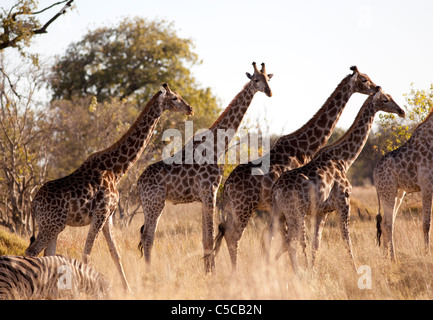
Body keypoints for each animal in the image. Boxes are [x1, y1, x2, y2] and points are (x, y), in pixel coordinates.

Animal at [24, 83, 192, 292]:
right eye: (175, 98)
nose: (190, 109)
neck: (116, 169)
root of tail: (34, 203)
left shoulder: (108, 217)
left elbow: (115, 253)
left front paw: (128, 289)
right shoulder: (101, 213)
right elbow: (87, 253)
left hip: (52, 226)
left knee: (47, 255)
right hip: (52, 225)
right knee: (31, 252)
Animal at [137, 62, 272, 272]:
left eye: (268, 78)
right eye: (256, 79)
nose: (269, 92)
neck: (217, 145)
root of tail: (138, 183)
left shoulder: (203, 197)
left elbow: (204, 238)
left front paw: (208, 271)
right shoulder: (210, 192)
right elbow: (209, 238)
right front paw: (212, 273)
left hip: (148, 204)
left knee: (145, 235)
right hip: (155, 202)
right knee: (148, 236)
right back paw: (149, 273)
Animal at [211, 66, 376, 272]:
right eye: (364, 79)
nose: (376, 88)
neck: (303, 147)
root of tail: (227, 186)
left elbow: (281, 239)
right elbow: (291, 239)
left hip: (235, 208)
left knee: (225, 233)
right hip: (244, 208)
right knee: (233, 236)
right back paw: (235, 271)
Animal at [270, 86, 404, 274]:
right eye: (385, 99)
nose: (401, 111)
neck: (344, 159)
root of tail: (276, 190)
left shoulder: (322, 211)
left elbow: (316, 243)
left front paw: (313, 269)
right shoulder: (343, 202)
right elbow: (346, 239)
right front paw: (354, 269)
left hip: (279, 213)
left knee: (274, 241)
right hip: (295, 213)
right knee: (291, 243)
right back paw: (296, 272)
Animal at [372, 106, 433, 262]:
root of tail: (374, 174)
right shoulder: (426, 185)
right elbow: (426, 224)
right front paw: (427, 254)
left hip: (398, 193)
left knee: (385, 222)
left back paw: (385, 257)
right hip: (388, 191)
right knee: (388, 224)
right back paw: (393, 259)